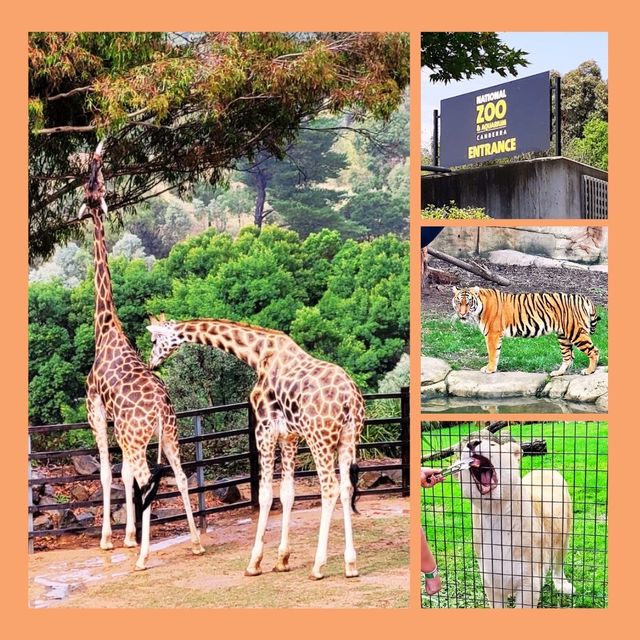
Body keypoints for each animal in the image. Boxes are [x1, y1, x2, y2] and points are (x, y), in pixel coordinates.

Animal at [80, 141, 204, 568]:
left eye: (94, 182)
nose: (89, 199)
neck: (105, 328)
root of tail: (159, 408)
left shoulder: (96, 409)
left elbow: (108, 473)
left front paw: (112, 539)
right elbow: (124, 476)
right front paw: (130, 536)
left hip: (136, 436)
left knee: (146, 476)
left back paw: (145, 556)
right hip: (168, 433)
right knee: (178, 475)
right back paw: (196, 542)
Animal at [146, 316, 364, 580]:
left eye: (154, 340)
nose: (151, 363)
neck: (257, 355)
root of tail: (350, 399)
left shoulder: (264, 431)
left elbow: (266, 494)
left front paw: (254, 562)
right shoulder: (289, 436)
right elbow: (287, 493)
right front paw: (282, 560)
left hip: (320, 438)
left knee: (330, 488)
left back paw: (318, 566)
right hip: (348, 438)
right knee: (346, 488)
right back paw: (351, 564)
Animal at [450, 286, 600, 376]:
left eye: (468, 303)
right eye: (458, 302)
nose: (462, 314)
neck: (479, 308)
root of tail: (584, 298)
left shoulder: (492, 334)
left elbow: (492, 353)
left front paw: (489, 369)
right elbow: (496, 353)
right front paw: (491, 368)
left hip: (576, 332)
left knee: (594, 351)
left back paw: (589, 371)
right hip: (563, 336)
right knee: (569, 356)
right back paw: (558, 373)